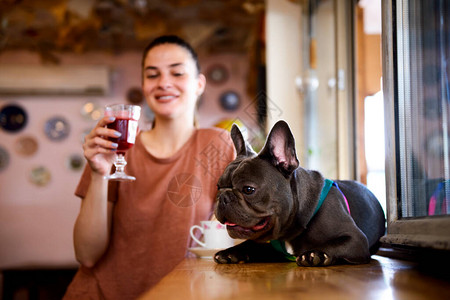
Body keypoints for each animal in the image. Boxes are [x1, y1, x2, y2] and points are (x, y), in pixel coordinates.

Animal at [216, 120, 384, 266]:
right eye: (218, 187)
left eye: (248, 190)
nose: (223, 197)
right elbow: (253, 244)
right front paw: (230, 252)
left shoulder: (356, 239)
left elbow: (334, 243)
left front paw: (315, 254)